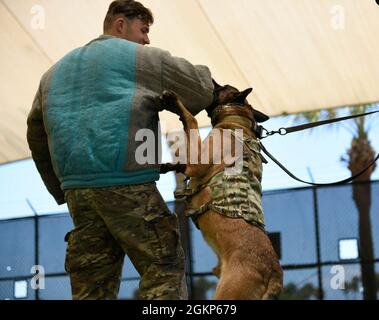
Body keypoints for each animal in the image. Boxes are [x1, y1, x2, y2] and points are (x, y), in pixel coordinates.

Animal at [160, 80, 282, 300]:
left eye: (221, 87)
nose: (212, 80)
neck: (236, 121)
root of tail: (274, 274)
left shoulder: (197, 163)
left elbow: (191, 120)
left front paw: (174, 101)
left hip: (228, 292)